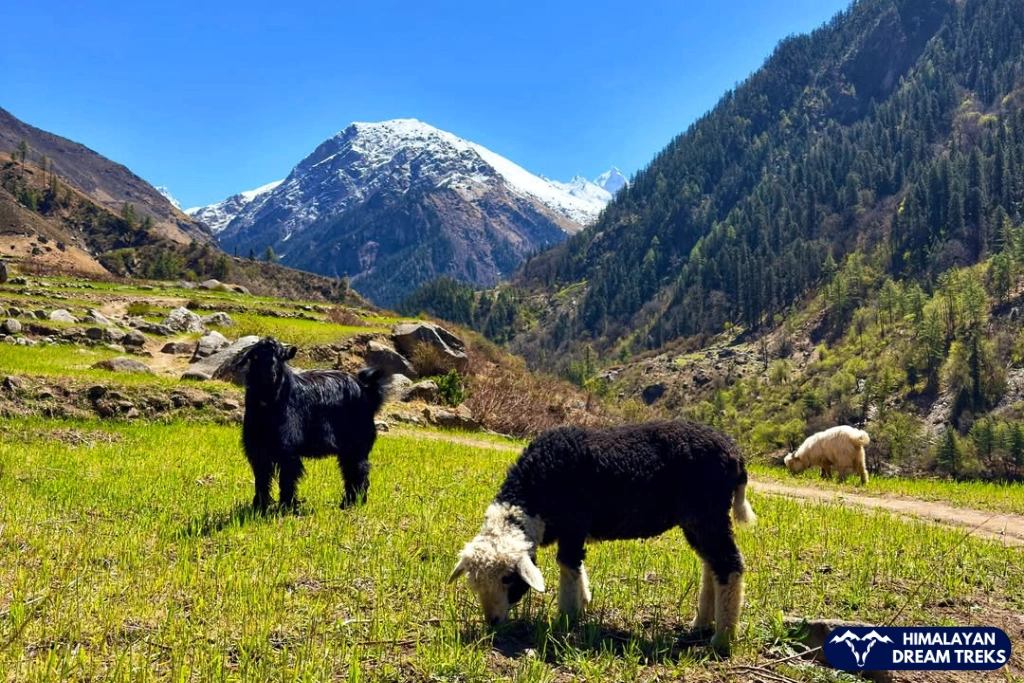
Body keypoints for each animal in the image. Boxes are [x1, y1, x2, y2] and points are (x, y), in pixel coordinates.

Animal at [239, 337, 389, 512]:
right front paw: (258, 508)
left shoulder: (288, 448)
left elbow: (286, 479)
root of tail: (366, 389)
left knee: (359, 471)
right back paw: (348, 503)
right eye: (255, 357)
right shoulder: (257, 449)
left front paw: (286, 507)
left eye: (281, 357)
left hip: (357, 443)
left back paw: (354, 503)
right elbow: (261, 479)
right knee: (351, 471)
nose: (270, 375)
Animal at [448, 420, 756, 652]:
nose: (493, 621)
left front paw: (565, 619)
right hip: (698, 519)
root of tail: (735, 453)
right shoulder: (573, 530)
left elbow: (567, 565)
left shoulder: (574, 522)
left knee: (729, 565)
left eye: (507, 579)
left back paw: (722, 639)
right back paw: (702, 624)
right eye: (474, 585)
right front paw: (583, 602)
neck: (534, 493)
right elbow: (574, 566)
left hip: (707, 512)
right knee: (711, 565)